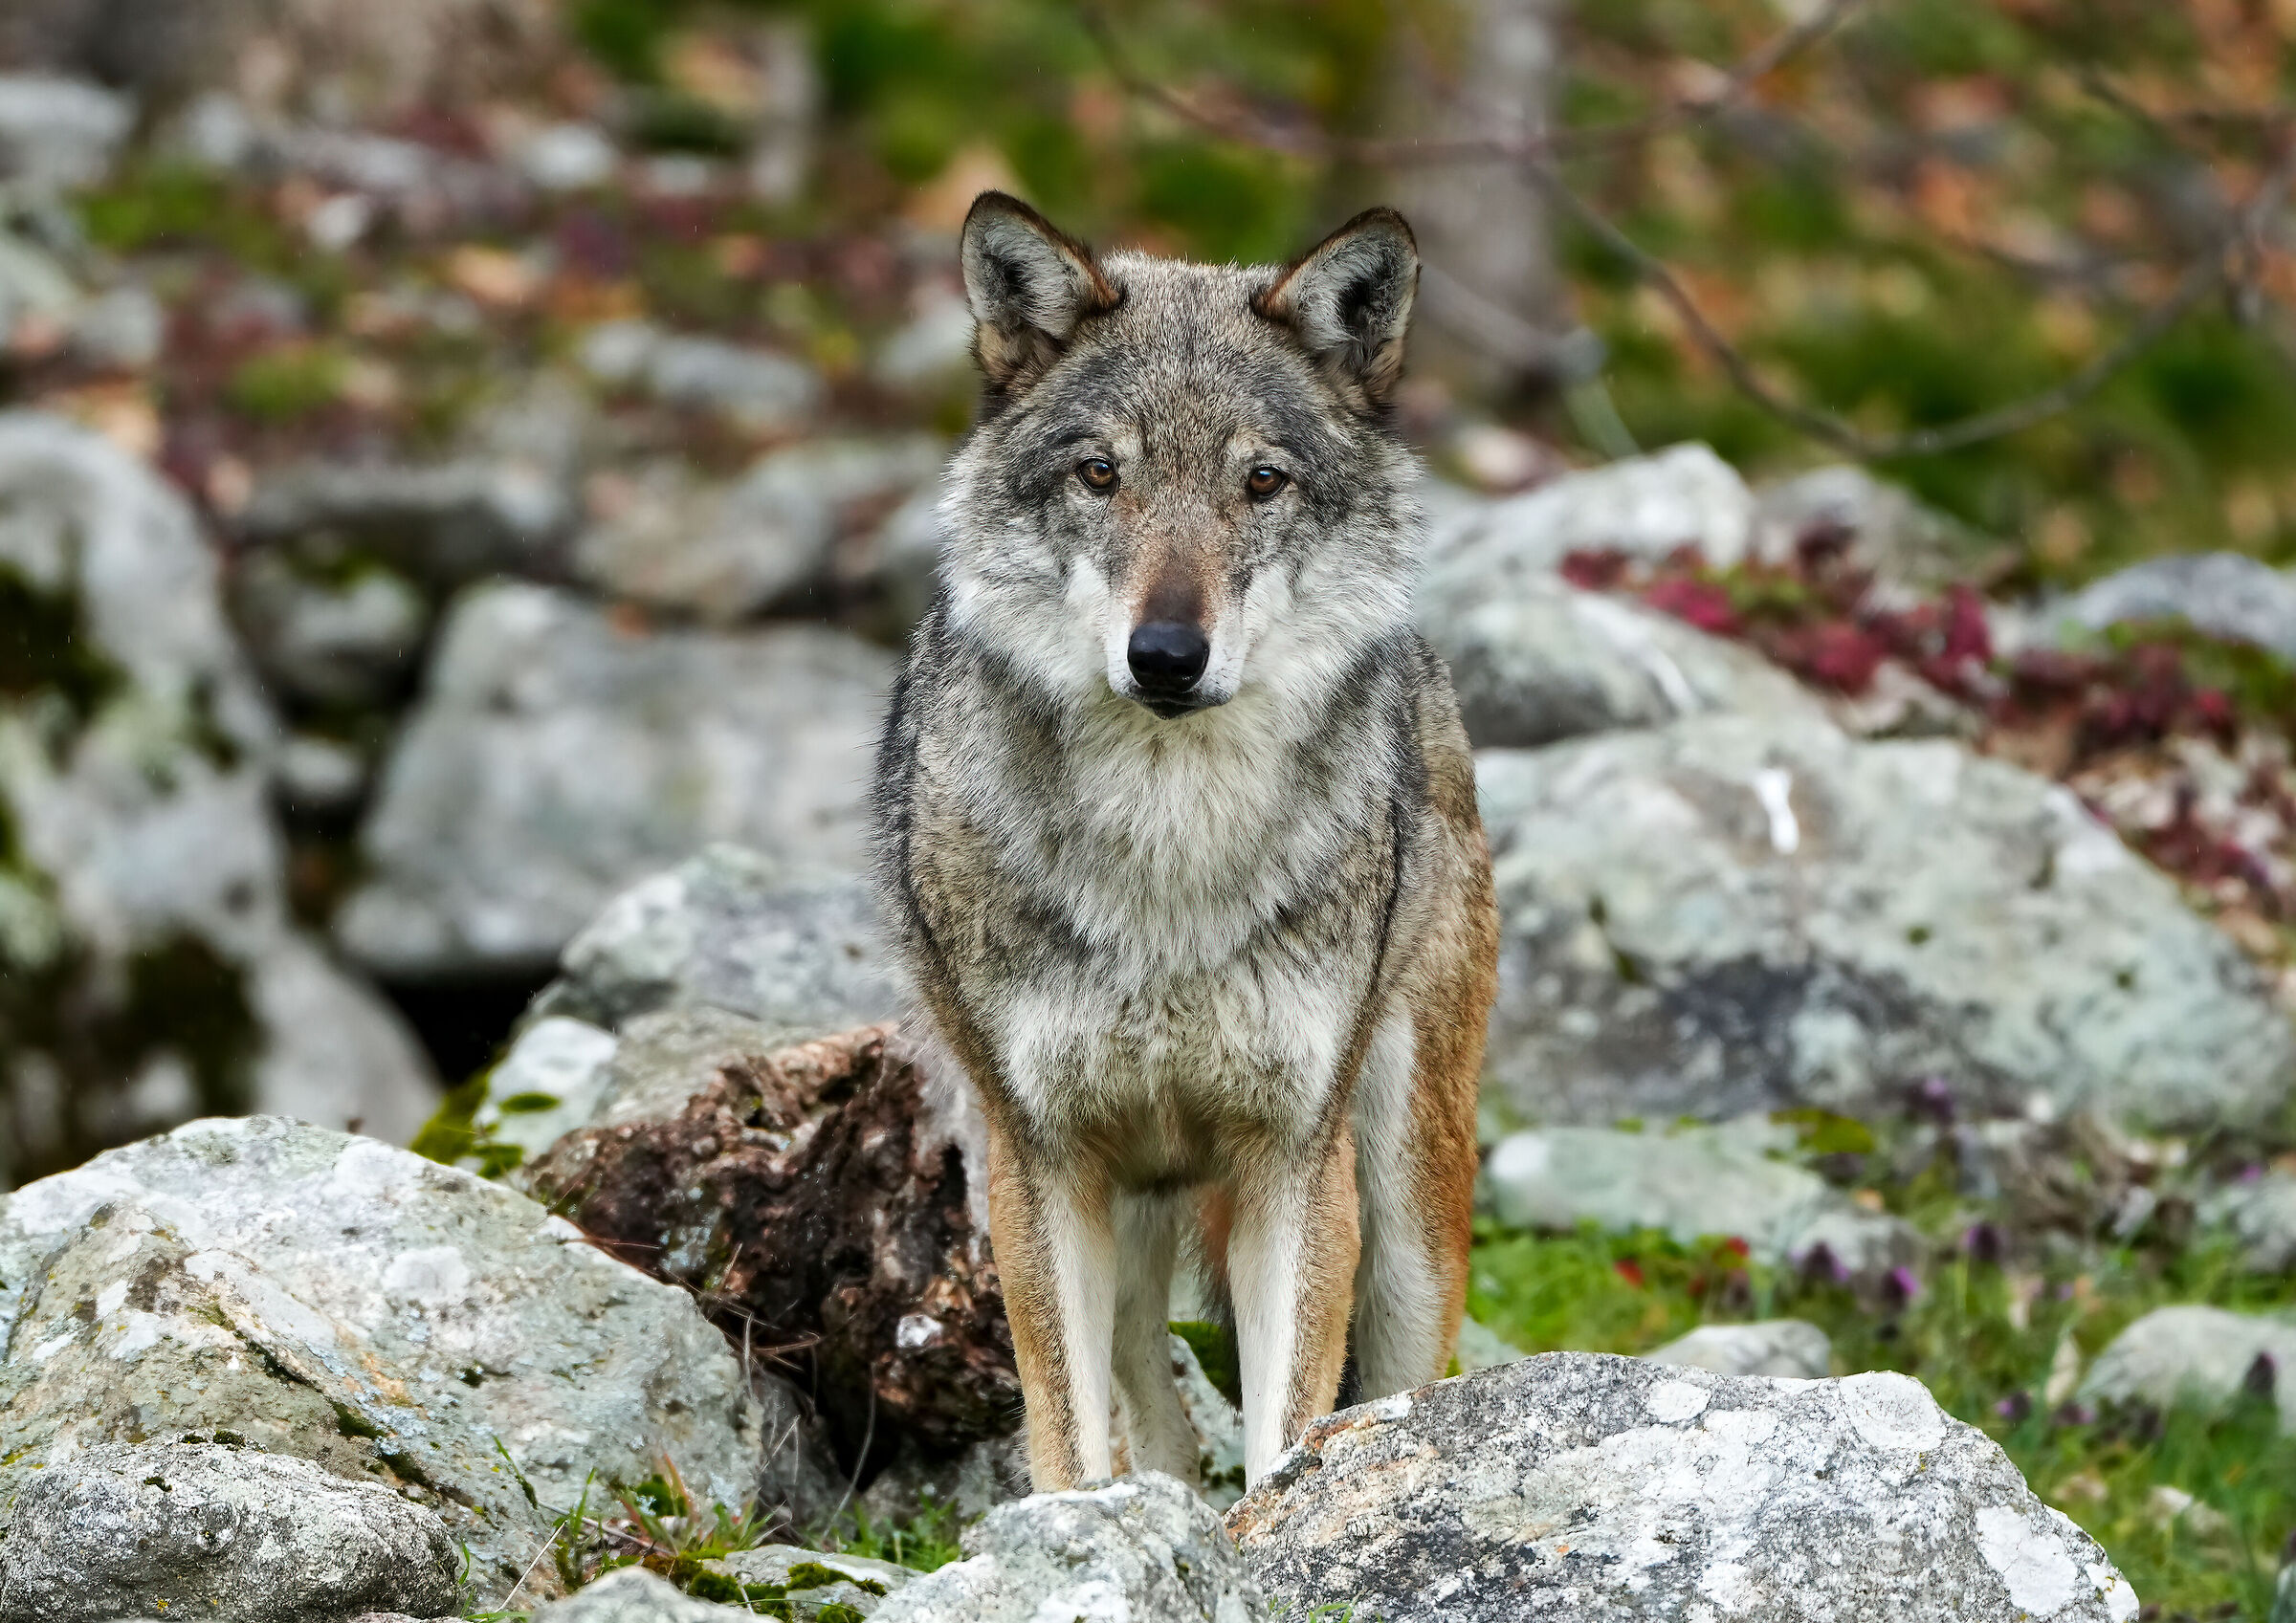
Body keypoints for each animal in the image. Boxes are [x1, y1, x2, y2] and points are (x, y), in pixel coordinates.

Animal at [872, 192, 1498, 1493]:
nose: (1166, 654)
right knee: (1150, 1410)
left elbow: (1288, 1436)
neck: (1168, 856)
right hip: (1125, 1206)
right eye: (1100, 472)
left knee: (1393, 1385)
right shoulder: (1041, 1161)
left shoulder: (1295, 1166)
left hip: (1406, 1210)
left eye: (1261, 480)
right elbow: (1069, 1442)